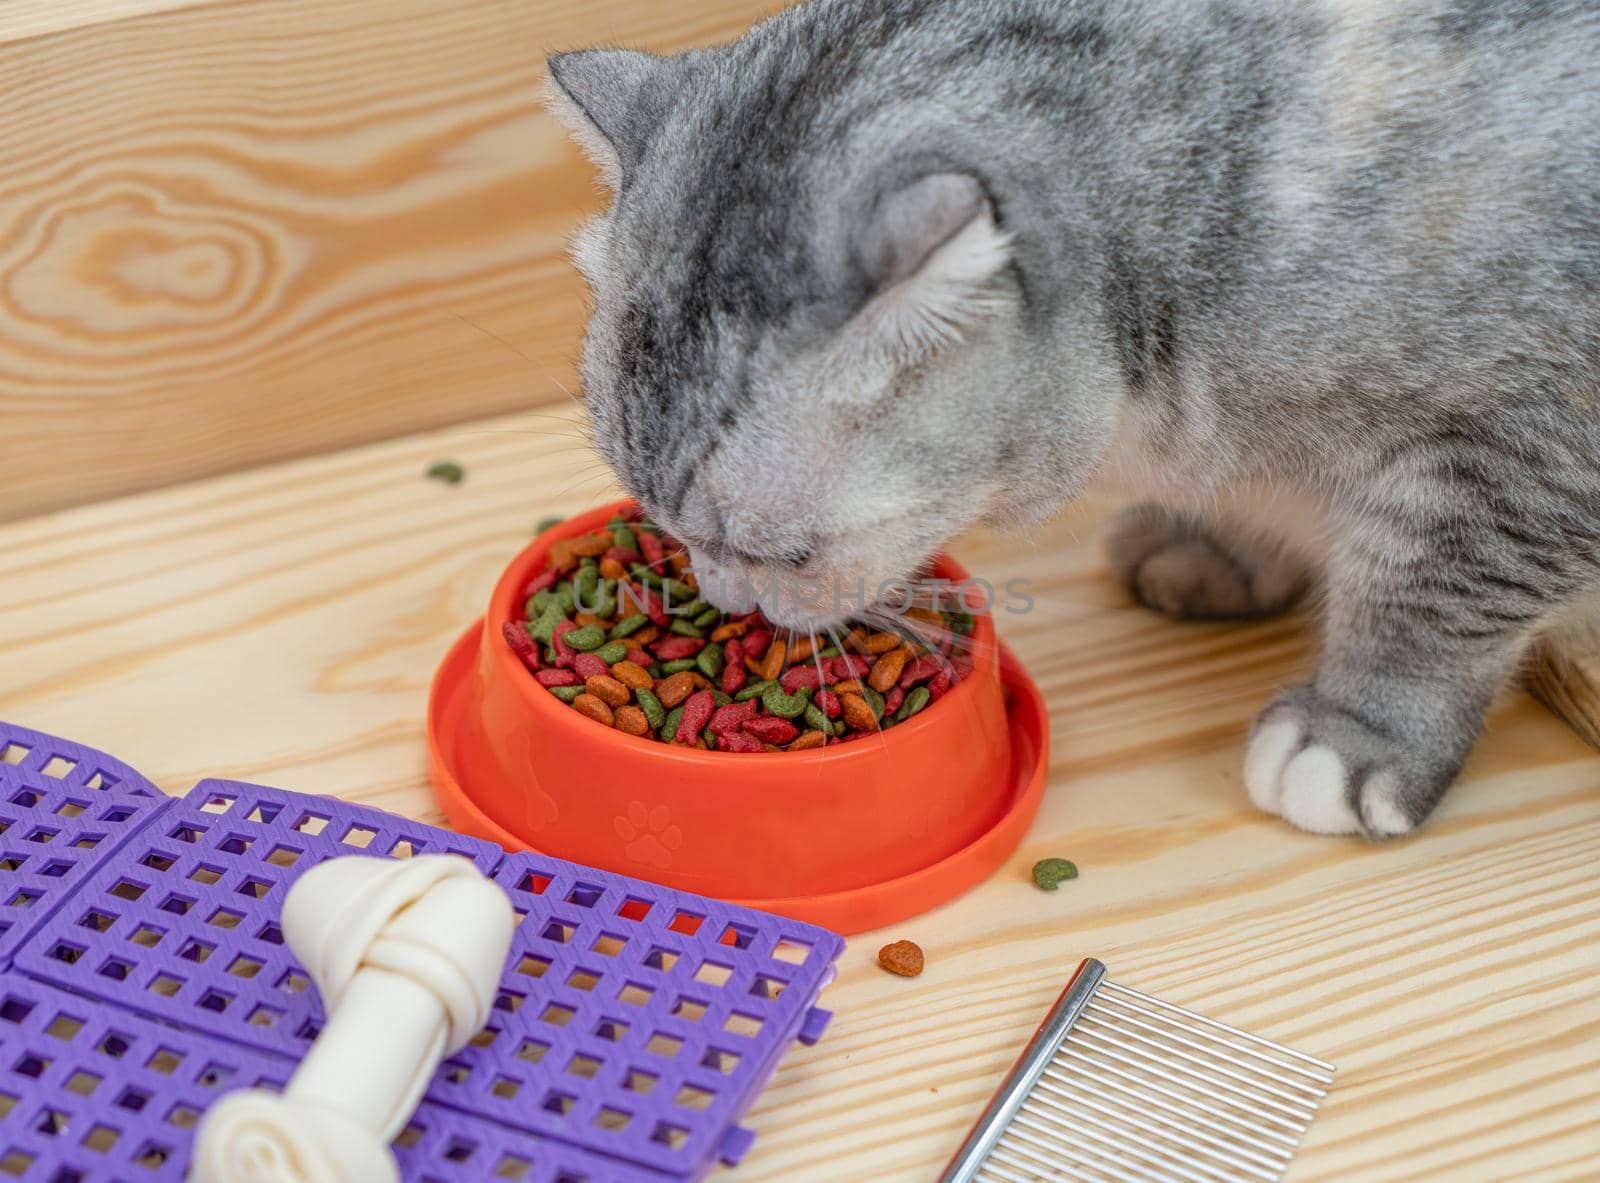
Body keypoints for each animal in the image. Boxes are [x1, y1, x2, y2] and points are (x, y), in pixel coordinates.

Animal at [547, 0, 1600, 838]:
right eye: (661, 523)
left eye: (786, 555)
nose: (724, 599)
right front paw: (1221, 548)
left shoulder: (1527, 448)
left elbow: (1425, 602)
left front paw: (1359, 736)